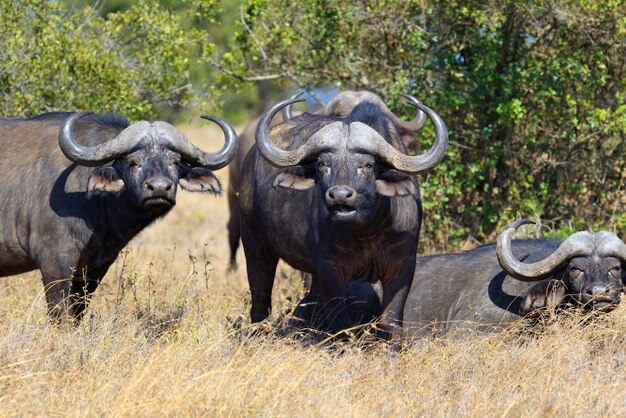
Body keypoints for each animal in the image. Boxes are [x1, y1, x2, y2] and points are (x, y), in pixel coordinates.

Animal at [0, 110, 236, 320]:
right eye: (132, 162)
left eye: (175, 161)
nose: (159, 188)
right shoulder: (54, 263)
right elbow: (61, 315)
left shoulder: (94, 269)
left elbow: (78, 313)